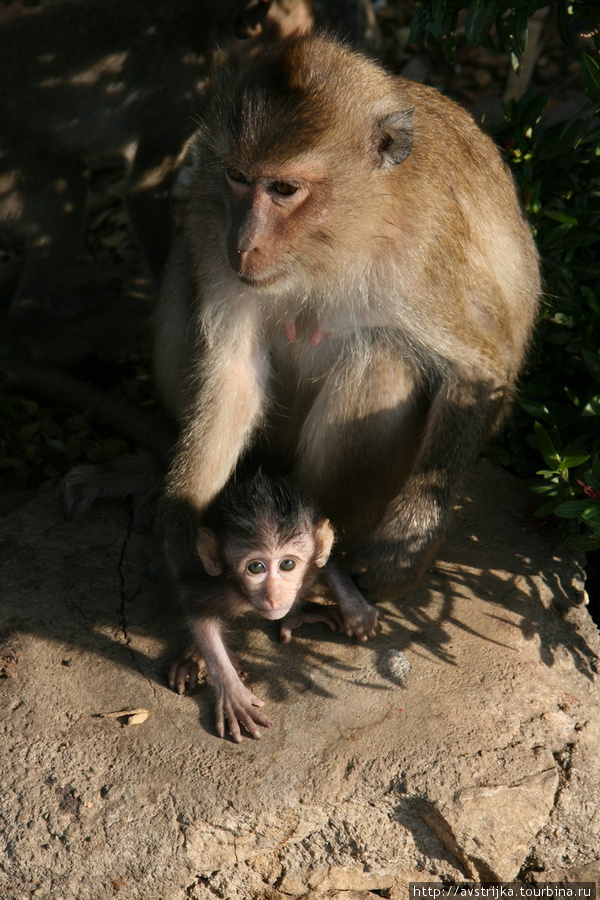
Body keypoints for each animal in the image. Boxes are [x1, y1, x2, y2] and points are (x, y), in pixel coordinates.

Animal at [0, 0, 310, 320]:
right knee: (65, 188)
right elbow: (142, 189)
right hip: (12, 161)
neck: (201, 31)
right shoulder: (180, 98)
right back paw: (37, 307)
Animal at [154, 35, 540, 608]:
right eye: (238, 177)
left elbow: (480, 373)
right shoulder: (208, 219)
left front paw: (403, 550)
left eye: (284, 189)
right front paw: (182, 528)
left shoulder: (419, 257)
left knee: (383, 356)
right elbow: (234, 377)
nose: (244, 244)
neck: (330, 241)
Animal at [169, 468, 378, 740]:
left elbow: (329, 561)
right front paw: (232, 691)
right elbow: (196, 611)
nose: (273, 596)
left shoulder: (312, 564)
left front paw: (357, 611)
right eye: (256, 568)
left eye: (287, 564)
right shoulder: (222, 589)